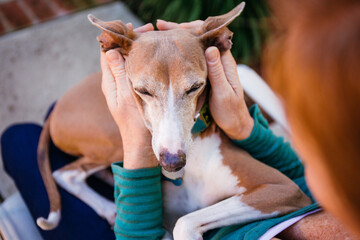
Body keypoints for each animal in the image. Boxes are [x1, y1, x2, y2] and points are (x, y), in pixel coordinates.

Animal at [37, 2, 312, 239]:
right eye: (142, 90)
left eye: (195, 87)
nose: (172, 162)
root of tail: (55, 109)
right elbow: (183, 221)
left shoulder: (282, 188)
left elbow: (184, 221)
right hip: (114, 138)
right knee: (66, 173)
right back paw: (109, 207)